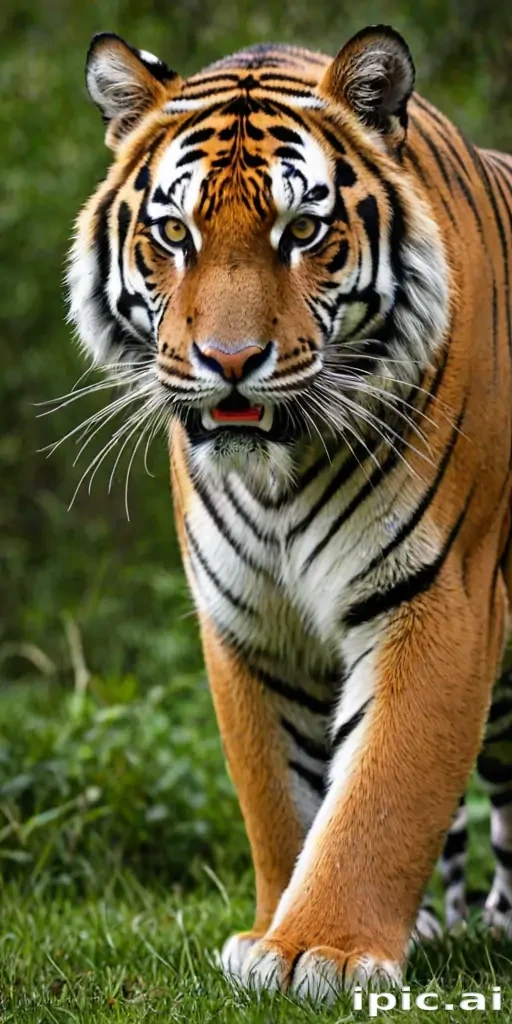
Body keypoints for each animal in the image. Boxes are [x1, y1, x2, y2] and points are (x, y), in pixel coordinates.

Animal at [67, 24, 512, 999]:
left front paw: (326, 951)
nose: (230, 361)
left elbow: (383, 787)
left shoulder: (440, 593)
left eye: (302, 230)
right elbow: (281, 796)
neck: (277, 476)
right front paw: (273, 934)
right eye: (174, 233)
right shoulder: (249, 622)